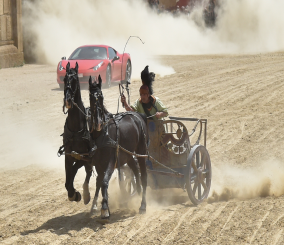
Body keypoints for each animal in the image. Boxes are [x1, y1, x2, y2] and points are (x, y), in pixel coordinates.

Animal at [89, 75, 148, 219]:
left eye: (101, 96)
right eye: (90, 97)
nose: (98, 123)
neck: (103, 134)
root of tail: (137, 115)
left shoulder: (111, 161)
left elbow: (104, 181)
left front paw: (105, 209)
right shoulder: (98, 164)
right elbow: (100, 182)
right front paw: (100, 206)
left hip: (141, 151)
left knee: (143, 176)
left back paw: (143, 205)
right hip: (128, 154)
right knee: (135, 169)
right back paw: (136, 192)